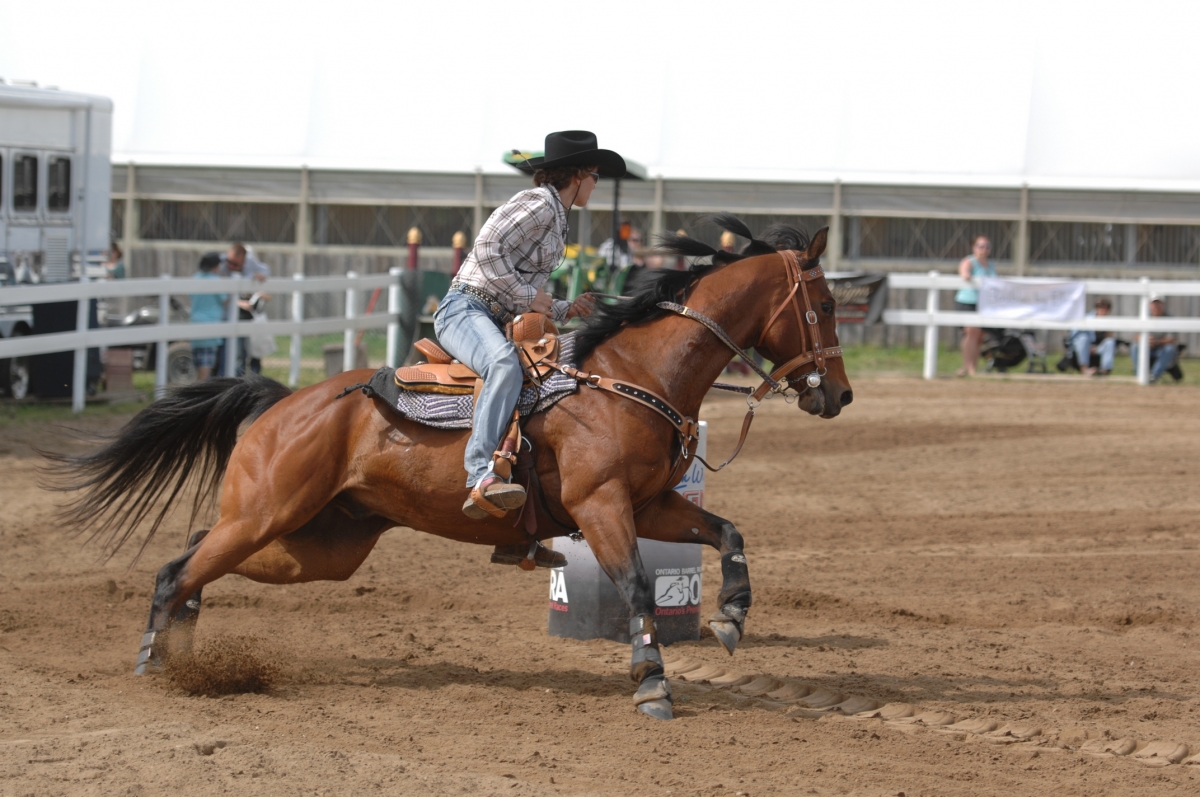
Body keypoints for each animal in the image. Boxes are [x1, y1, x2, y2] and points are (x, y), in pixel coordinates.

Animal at [49, 215, 853, 721]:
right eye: (821, 303)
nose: (839, 394)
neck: (631, 374)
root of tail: (280, 401)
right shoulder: (602, 506)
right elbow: (636, 585)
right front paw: (652, 683)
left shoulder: (653, 503)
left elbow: (728, 533)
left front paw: (730, 619)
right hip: (266, 515)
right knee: (175, 569)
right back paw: (154, 664)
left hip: (317, 543)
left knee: (194, 564)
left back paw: (184, 656)